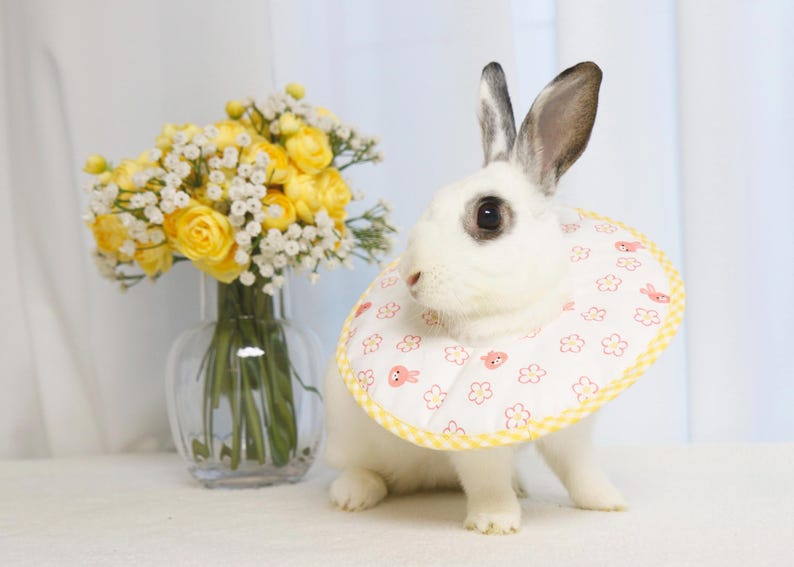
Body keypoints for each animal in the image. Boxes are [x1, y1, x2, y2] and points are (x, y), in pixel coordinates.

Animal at [324, 61, 627, 535]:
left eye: (489, 215)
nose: (412, 275)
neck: (512, 321)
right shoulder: (475, 442)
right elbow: (487, 484)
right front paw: (495, 523)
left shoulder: (570, 427)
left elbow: (580, 470)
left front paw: (608, 503)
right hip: (346, 434)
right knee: (357, 468)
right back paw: (353, 495)